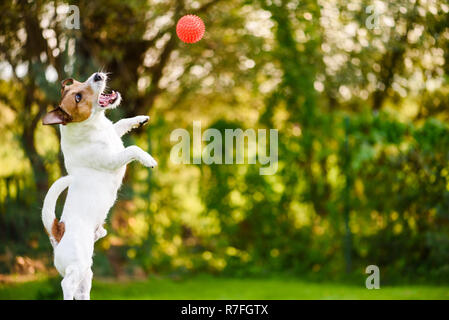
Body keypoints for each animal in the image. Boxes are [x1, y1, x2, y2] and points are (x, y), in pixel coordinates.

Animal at [41, 72, 158, 300]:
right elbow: (132, 149)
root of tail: (57, 232)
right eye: (78, 97)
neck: (93, 126)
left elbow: (121, 123)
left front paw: (139, 119)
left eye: (78, 82)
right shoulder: (113, 160)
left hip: (87, 272)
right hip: (78, 264)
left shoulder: (114, 132)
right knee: (67, 284)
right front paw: (147, 158)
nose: (97, 75)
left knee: (80, 290)